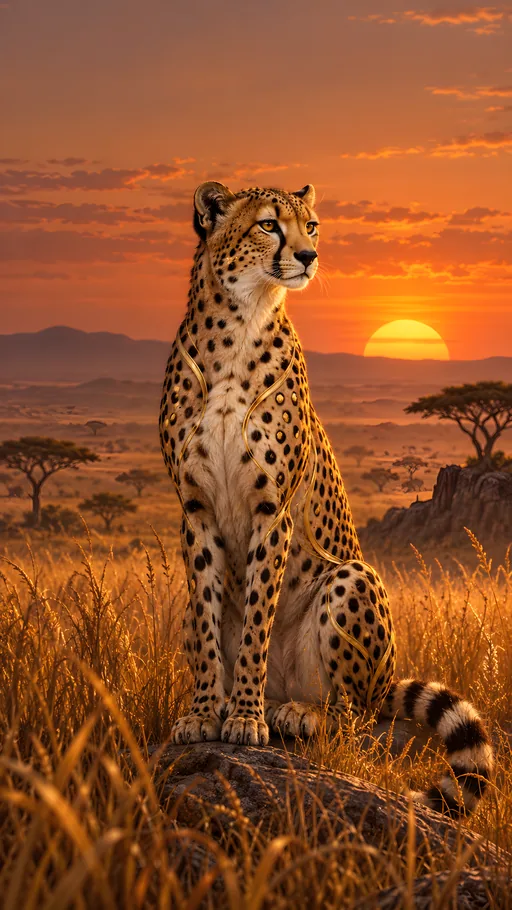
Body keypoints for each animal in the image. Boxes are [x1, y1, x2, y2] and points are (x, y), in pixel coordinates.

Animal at [159, 181, 493, 816]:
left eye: (311, 226)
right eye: (268, 224)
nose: (310, 256)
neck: (239, 323)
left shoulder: (273, 512)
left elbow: (257, 621)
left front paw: (245, 718)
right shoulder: (195, 510)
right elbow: (214, 624)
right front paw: (204, 712)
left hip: (351, 578)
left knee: (356, 718)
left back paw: (297, 713)